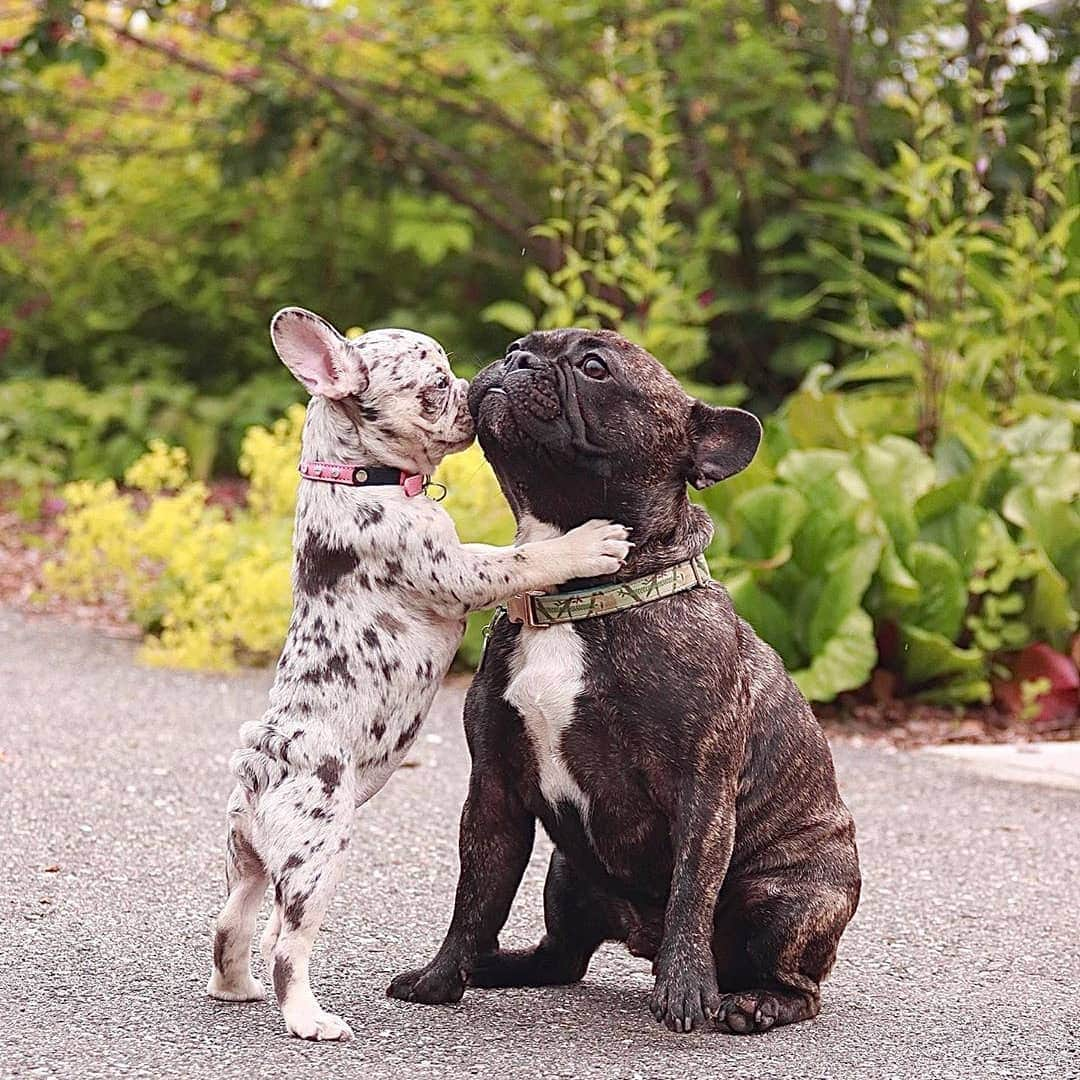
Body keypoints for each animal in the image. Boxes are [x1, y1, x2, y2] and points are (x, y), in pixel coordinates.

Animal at [205, 308, 630, 1041]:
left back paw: (237, 990)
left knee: (233, 921)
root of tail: (268, 757)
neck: (352, 472)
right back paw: (309, 1019)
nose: (474, 387)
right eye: (435, 386)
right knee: (287, 943)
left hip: (250, 856)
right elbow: (519, 559)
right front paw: (587, 544)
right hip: (318, 853)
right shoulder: (455, 570)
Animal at [388, 326, 859, 1028]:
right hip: (565, 873)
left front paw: (686, 991)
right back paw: (495, 966)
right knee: (561, 958)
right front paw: (443, 977)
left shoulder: (701, 789)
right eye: (521, 344)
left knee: (797, 983)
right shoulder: (493, 791)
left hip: (787, 901)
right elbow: (475, 896)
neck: (578, 598)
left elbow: (692, 889)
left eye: (593, 367)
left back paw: (750, 1002)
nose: (516, 360)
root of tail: (639, 937)